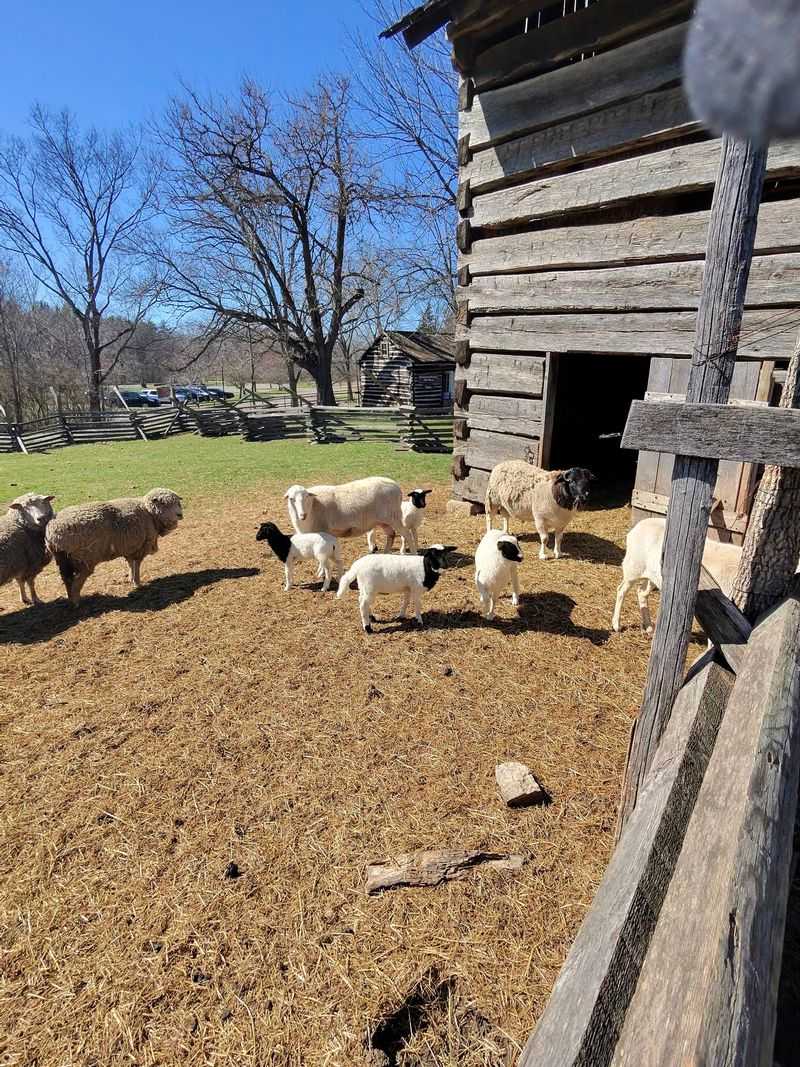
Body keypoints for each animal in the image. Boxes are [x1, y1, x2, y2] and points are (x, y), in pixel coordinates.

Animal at [45, 487, 183, 606]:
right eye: (164, 503)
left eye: (178, 503)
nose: (180, 515)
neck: (149, 513)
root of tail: (53, 531)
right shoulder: (141, 547)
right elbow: (137, 565)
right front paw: (137, 582)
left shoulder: (130, 547)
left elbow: (130, 564)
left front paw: (131, 579)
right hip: (84, 559)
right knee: (77, 581)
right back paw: (76, 602)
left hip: (63, 560)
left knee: (67, 579)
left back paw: (71, 599)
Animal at [612, 517, 745, 634]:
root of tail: (634, 529)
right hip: (633, 567)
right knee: (621, 590)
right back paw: (616, 625)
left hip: (652, 575)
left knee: (641, 592)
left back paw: (649, 627)